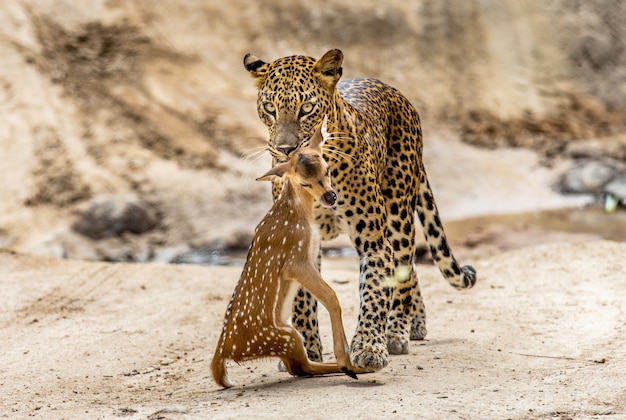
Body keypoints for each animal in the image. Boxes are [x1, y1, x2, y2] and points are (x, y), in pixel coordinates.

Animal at [241, 49, 476, 370]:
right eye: (269, 108)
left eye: (306, 108)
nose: (285, 149)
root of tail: (394, 91)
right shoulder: (299, 240)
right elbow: (303, 298)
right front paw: (308, 351)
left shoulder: (373, 240)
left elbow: (376, 291)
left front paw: (369, 347)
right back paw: (417, 323)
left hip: (398, 214)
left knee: (403, 269)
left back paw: (398, 331)